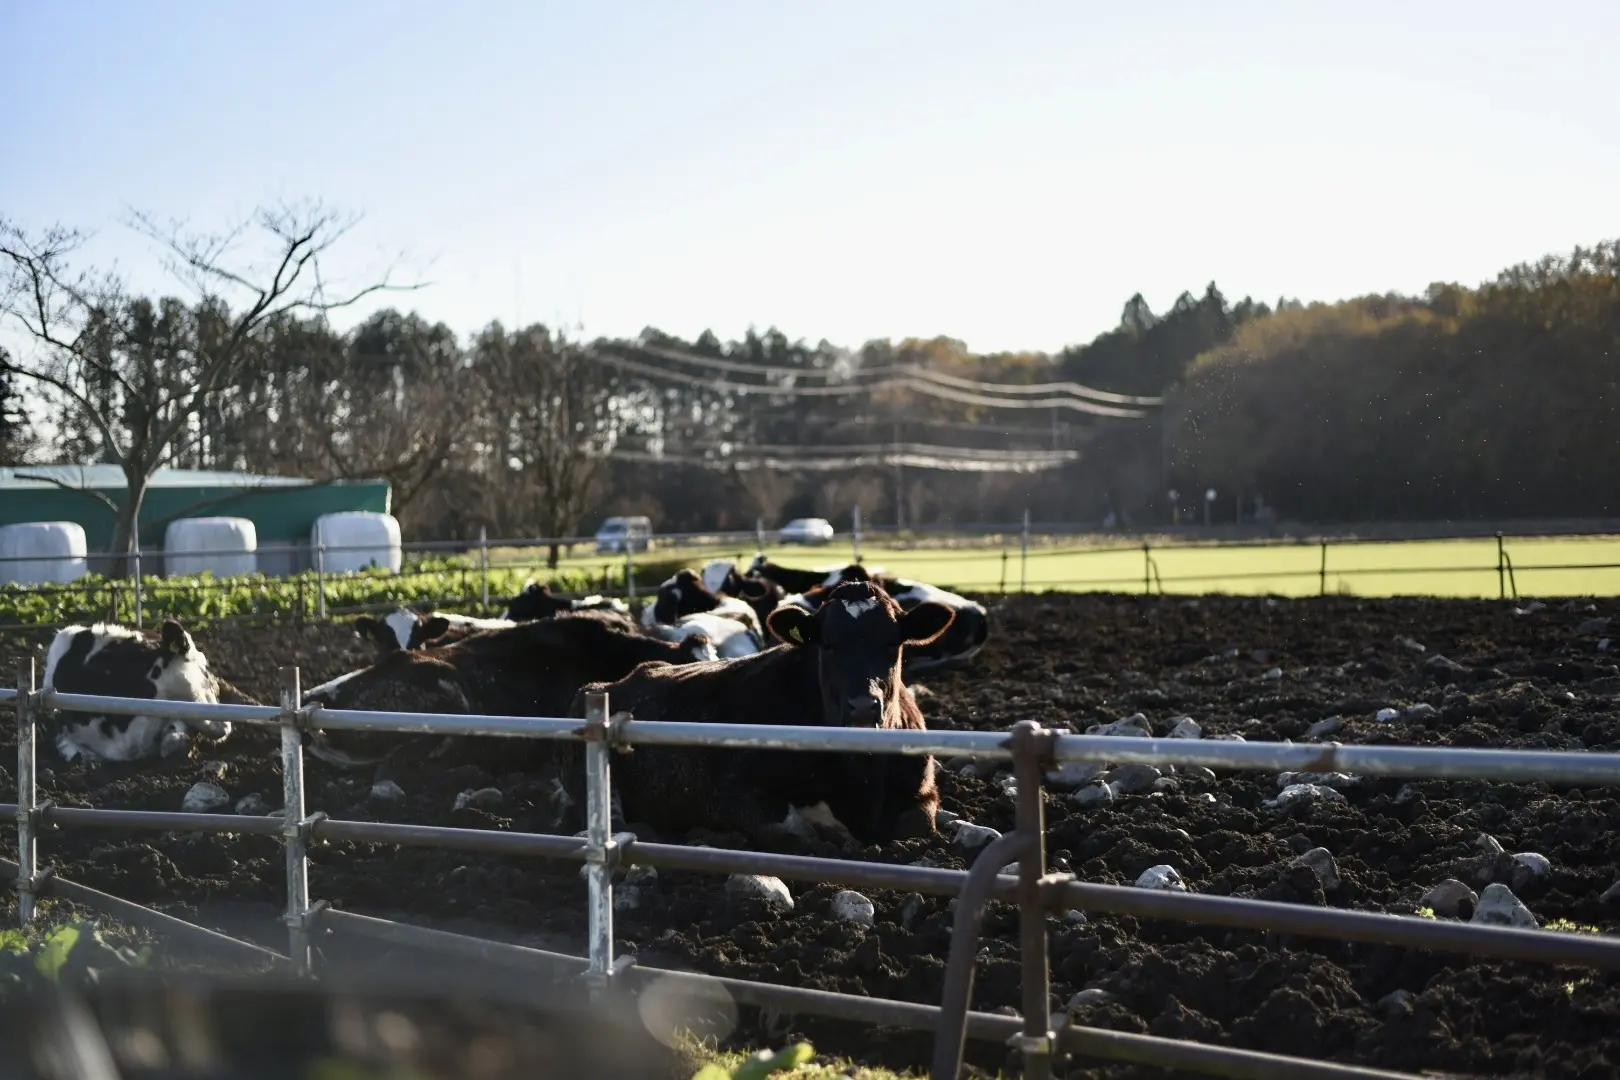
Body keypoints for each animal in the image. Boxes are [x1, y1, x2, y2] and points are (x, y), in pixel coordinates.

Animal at [567, 579, 952, 848]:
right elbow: (795, 832)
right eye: (827, 644)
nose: (862, 707)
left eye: (892, 643)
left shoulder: (922, 793)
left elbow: (918, 826)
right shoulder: (726, 792)